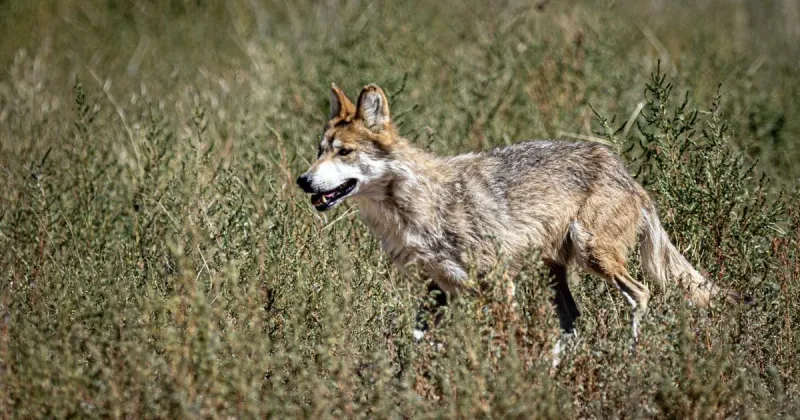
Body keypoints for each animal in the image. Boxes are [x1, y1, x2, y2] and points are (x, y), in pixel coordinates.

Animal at [296, 83, 717, 346]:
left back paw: (631, 357)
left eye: (344, 152)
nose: (303, 180)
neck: (418, 206)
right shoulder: (437, 290)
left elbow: (507, 338)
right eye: (320, 151)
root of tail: (624, 171)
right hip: (554, 272)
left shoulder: (498, 283)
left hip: (593, 255)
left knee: (640, 294)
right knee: (571, 324)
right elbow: (414, 345)